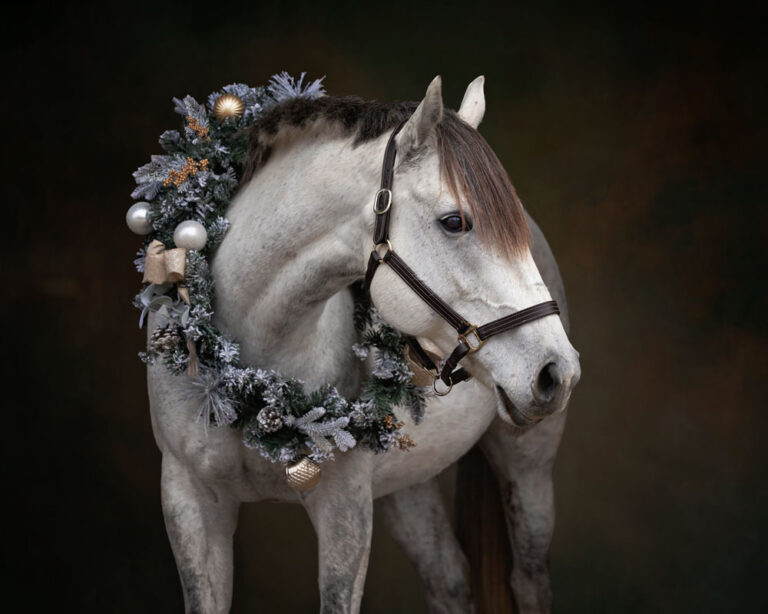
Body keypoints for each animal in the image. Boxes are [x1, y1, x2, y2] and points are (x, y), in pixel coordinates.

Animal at [147, 77, 580, 614]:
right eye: (454, 221)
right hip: (406, 486)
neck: (248, 379)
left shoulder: (344, 508)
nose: (558, 372)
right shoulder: (188, 499)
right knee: (448, 579)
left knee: (528, 579)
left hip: (529, 468)